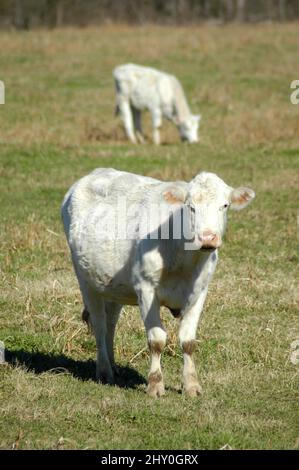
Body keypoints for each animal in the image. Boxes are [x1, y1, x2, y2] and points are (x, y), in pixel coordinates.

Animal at [61, 169, 255, 396]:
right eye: (190, 206)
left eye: (225, 205)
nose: (207, 238)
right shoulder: (146, 289)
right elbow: (157, 340)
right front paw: (155, 384)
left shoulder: (200, 290)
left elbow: (188, 341)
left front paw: (192, 385)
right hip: (85, 281)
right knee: (99, 324)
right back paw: (104, 371)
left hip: (112, 285)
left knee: (110, 324)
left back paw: (113, 366)